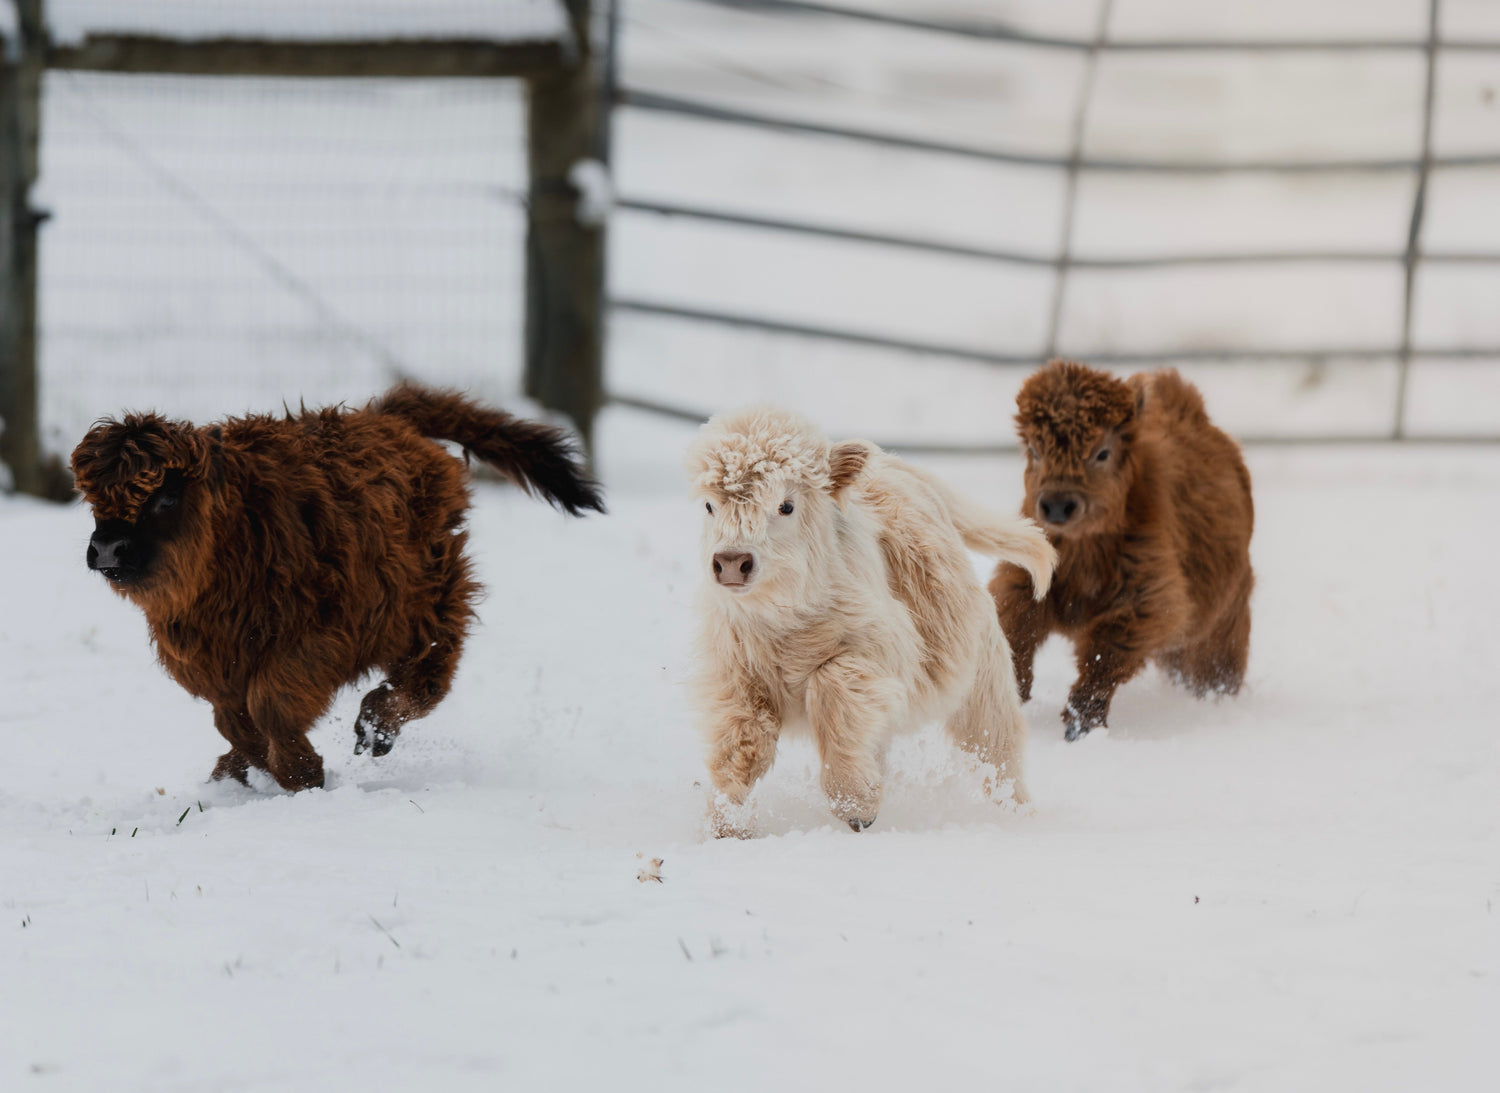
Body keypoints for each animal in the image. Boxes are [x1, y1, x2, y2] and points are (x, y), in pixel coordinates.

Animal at [71, 386, 603, 791]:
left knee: (430, 671)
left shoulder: (315, 640)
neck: (238, 534)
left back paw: (376, 727)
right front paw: (247, 770)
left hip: (432, 596)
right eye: (93, 501)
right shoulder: (214, 668)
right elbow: (234, 722)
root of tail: (388, 419)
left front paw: (302, 775)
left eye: (166, 497)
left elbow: (271, 707)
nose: (109, 549)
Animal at [996, 362, 1254, 737]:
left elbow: (1105, 656)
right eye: (1034, 450)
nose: (1058, 505)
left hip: (1226, 618)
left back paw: (1216, 698)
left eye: (1103, 452)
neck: (1084, 553)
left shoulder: (1147, 600)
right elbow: (1015, 626)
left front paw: (1080, 725)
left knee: (1216, 665)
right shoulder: (1025, 577)